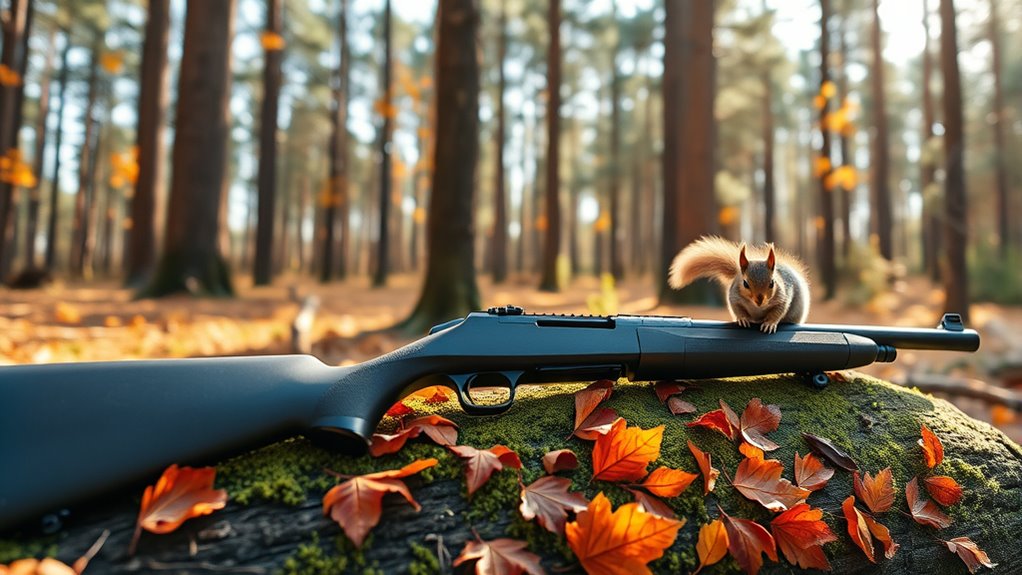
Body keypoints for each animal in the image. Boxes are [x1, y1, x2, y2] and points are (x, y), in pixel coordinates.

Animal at [668, 236, 810, 334]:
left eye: (772, 283)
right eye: (745, 283)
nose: (760, 300)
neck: (757, 307)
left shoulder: (783, 297)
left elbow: (778, 312)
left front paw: (769, 324)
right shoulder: (734, 296)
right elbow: (737, 308)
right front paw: (743, 319)